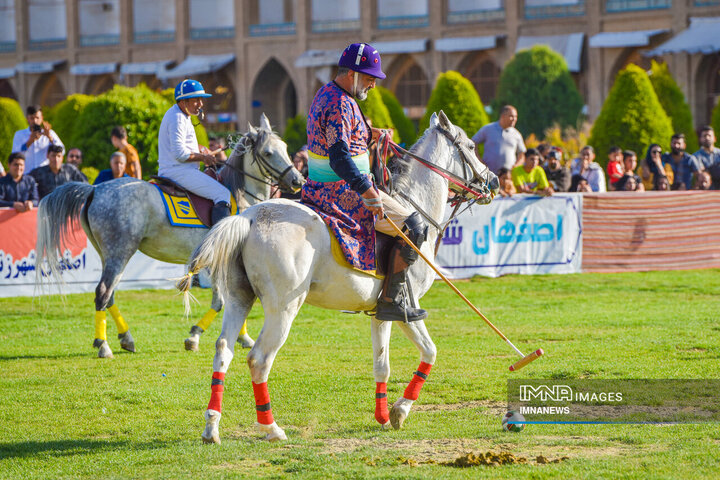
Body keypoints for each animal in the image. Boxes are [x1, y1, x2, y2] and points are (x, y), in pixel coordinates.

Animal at [35, 115, 304, 356]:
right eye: (268, 153)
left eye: (285, 148)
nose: (298, 180)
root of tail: (94, 189)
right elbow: (223, 301)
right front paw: (197, 335)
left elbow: (228, 300)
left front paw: (239, 337)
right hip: (120, 253)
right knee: (103, 292)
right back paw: (103, 346)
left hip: (107, 255)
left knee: (109, 295)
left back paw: (126, 338)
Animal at [177, 112, 498, 442]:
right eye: (471, 146)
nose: (494, 181)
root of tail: (248, 217)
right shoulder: (410, 308)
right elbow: (430, 352)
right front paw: (400, 410)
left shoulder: (381, 313)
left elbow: (382, 365)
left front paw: (383, 415)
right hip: (283, 309)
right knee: (259, 359)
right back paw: (272, 428)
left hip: (239, 298)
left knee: (223, 350)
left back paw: (211, 426)